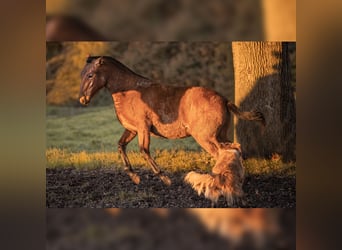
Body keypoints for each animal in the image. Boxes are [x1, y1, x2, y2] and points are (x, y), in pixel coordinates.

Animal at [79, 55, 264, 206]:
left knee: (224, 153)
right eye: (82, 74)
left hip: (206, 138)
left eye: (90, 75)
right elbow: (120, 145)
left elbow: (144, 150)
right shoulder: (131, 130)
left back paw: (220, 189)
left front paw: (165, 178)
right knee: (235, 149)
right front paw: (134, 177)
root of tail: (224, 100)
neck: (130, 92)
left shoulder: (143, 128)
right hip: (220, 134)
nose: (82, 99)